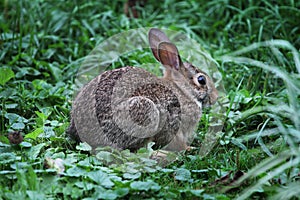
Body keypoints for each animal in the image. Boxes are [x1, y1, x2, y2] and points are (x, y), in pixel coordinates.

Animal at [67, 28, 218, 152]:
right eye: (201, 80)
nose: (216, 97)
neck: (182, 90)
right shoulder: (174, 123)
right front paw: (189, 148)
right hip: (144, 110)